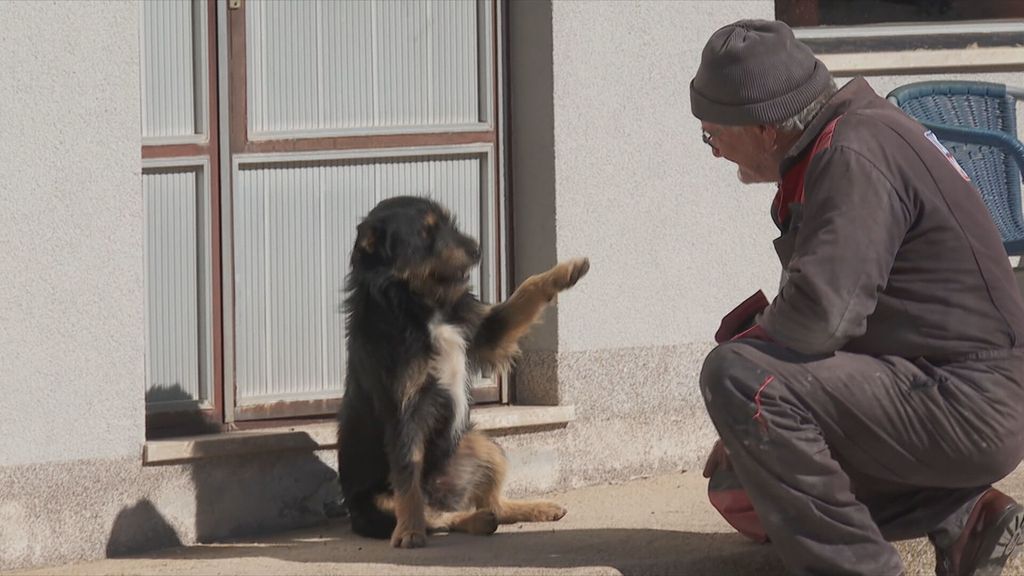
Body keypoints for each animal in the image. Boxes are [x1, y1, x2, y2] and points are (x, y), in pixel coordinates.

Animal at [339, 194, 589, 545]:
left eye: (450, 223)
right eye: (426, 233)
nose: (477, 249)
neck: (422, 305)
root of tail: (446, 494)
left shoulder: (487, 333)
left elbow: (525, 290)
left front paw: (565, 272)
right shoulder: (404, 411)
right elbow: (407, 478)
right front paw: (409, 532)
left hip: (484, 446)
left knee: (493, 504)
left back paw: (532, 508)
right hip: (377, 503)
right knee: (438, 516)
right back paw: (464, 521)